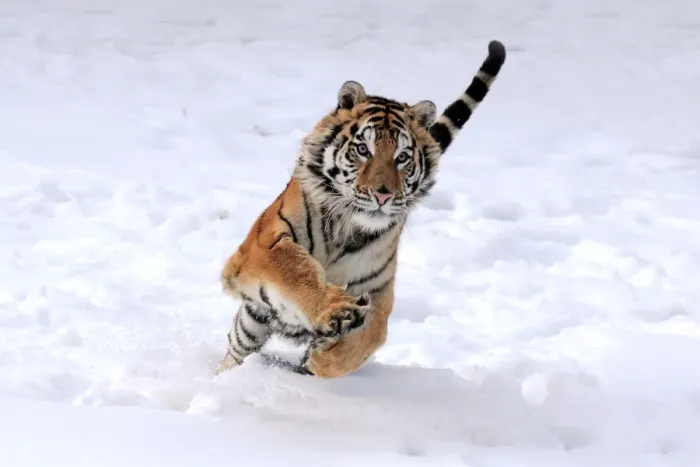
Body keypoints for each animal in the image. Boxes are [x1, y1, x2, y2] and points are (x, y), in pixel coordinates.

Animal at [215, 40, 507, 379]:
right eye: (363, 150)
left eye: (402, 157)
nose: (383, 194)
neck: (347, 227)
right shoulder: (264, 245)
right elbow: (296, 270)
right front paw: (336, 311)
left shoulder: (379, 288)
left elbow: (373, 333)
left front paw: (323, 360)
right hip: (252, 321)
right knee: (237, 349)